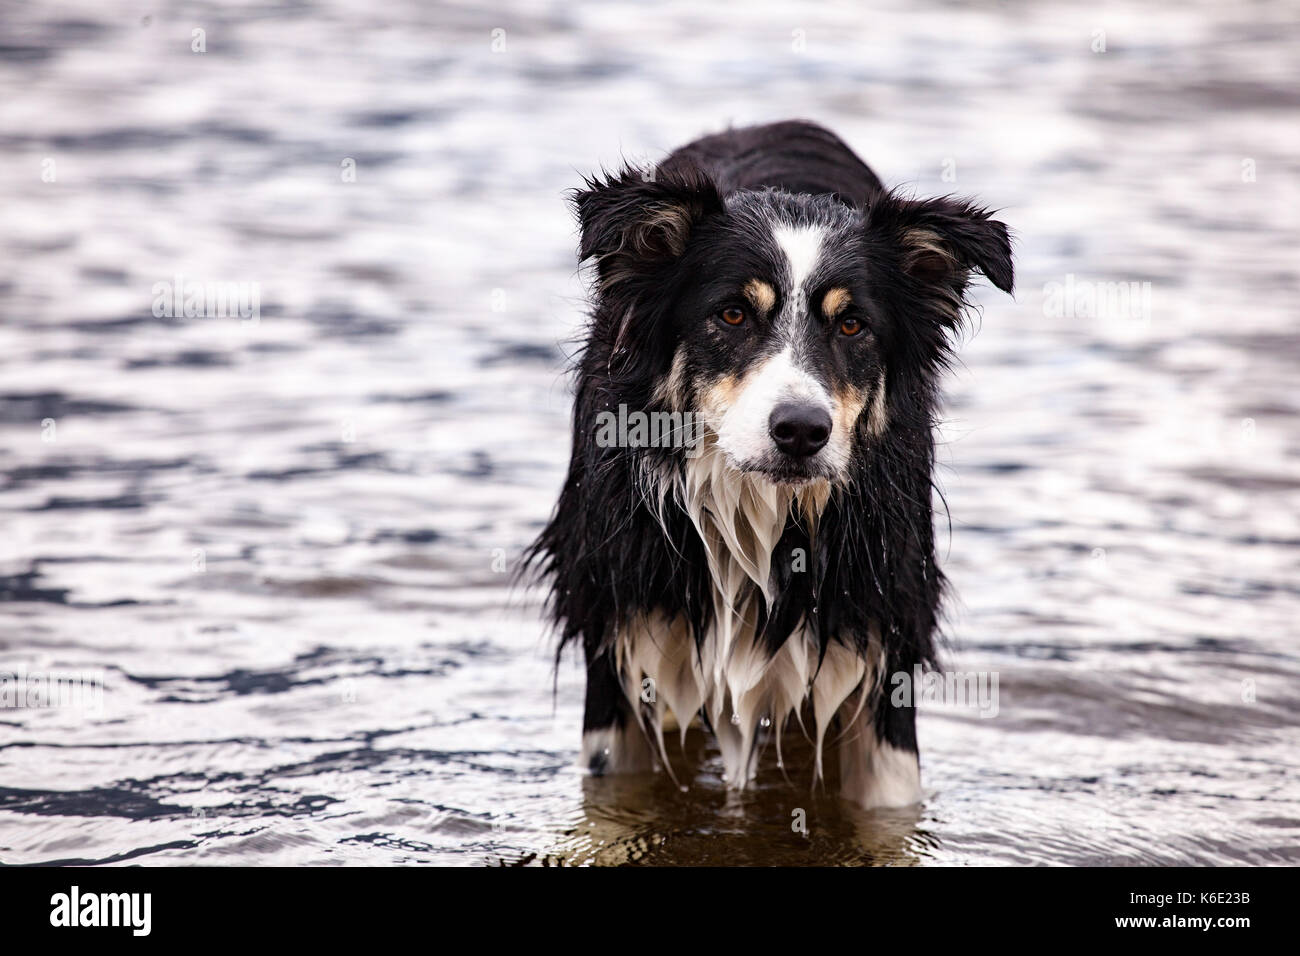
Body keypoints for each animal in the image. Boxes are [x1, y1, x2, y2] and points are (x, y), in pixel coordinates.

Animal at [527, 119, 1013, 806]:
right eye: (731, 314)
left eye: (854, 325)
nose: (802, 431)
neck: (756, 512)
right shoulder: (617, 629)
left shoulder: (883, 629)